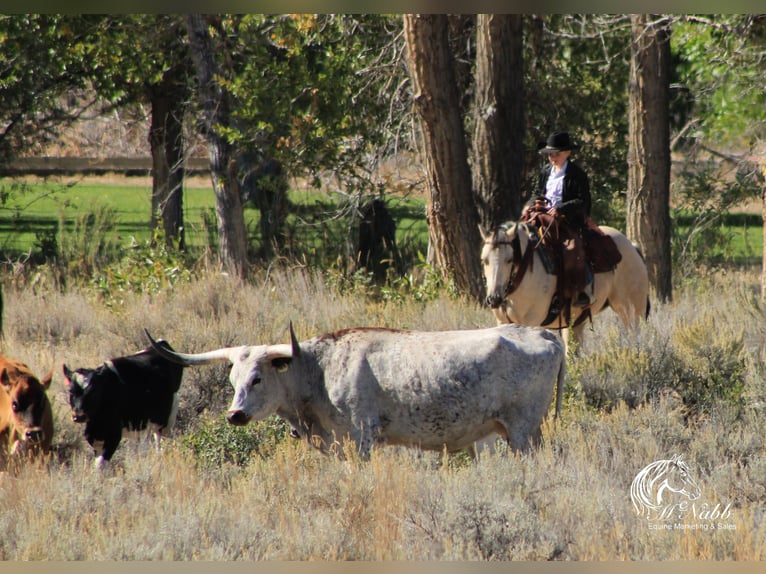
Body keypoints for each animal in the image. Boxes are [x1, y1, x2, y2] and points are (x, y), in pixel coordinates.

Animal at [146, 326, 564, 462]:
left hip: (522, 431)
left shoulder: (361, 438)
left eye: (258, 379)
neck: (318, 370)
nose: (235, 415)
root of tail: (542, 332)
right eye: (233, 380)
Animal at [484, 220, 652, 354]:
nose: (494, 298)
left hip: (631, 311)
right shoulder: (502, 323)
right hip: (576, 321)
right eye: (484, 260)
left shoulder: (531, 322)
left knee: (635, 338)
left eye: (509, 259)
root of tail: (633, 247)